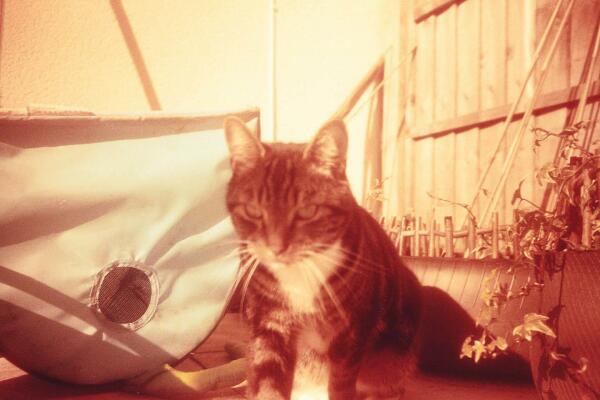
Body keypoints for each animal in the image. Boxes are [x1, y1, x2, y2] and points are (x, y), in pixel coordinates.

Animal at [224, 116, 422, 400]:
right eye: (253, 211)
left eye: (307, 211)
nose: (276, 247)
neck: (299, 274)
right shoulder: (270, 325)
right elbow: (268, 382)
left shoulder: (350, 333)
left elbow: (340, 382)